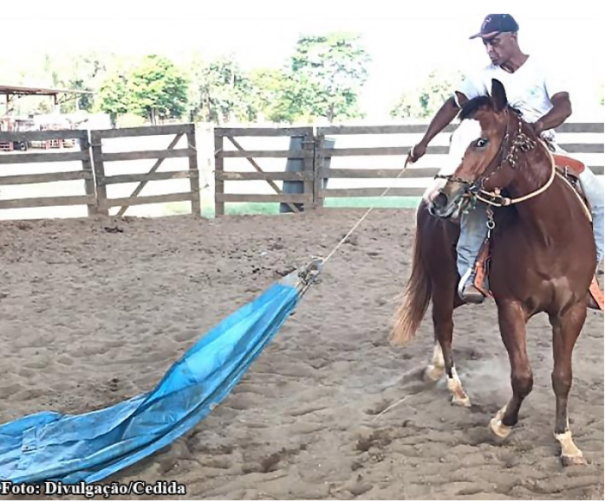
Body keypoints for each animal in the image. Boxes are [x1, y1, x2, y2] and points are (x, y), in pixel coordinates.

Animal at [392, 78, 596, 466]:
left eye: (481, 141)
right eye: (453, 138)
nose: (442, 199)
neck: (550, 232)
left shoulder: (572, 310)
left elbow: (562, 376)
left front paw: (566, 442)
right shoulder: (510, 307)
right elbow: (522, 376)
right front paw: (502, 423)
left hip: (460, 289)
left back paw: (435, 368)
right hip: (445, 281)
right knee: (443, 324)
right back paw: (456, 388)